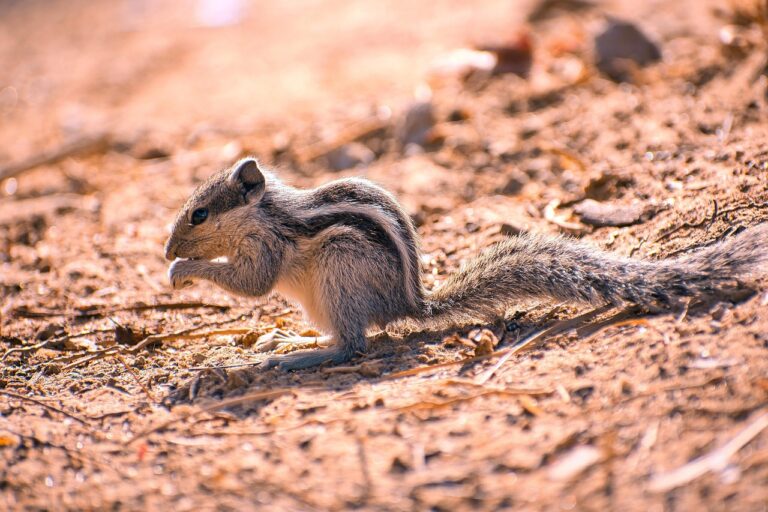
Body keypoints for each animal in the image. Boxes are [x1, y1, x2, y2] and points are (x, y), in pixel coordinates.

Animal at [164, 157, 768, 371]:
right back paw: (291, 340)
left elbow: (252, 285)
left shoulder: (267, 247)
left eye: (198, 214)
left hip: (339, 271)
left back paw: (296, 357)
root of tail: (409, 302)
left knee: (352, 346)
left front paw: (182, 272)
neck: (263, 210)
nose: (169, 250)